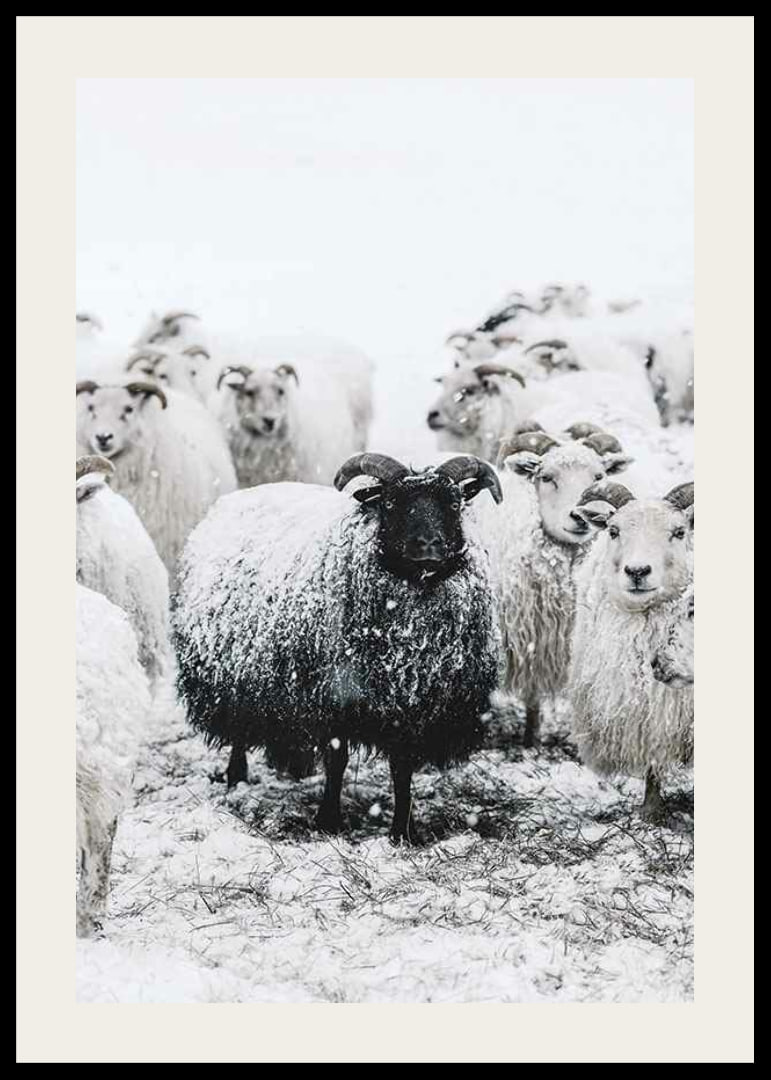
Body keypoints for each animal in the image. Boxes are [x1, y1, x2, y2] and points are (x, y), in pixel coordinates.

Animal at [172, 452, 504, 843]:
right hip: (234, 676)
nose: (430, 545)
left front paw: (403, 832)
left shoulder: (412, 707)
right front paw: (328, 821)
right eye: (390, 503)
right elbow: (337, 760)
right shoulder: (332, 697)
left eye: (453, 503)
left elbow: (402, 767)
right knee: (239, 730)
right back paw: (236, 778)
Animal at [474, 424, 634, 746]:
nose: (579, 517)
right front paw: (530, 738)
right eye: (546, 477)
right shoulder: (531, 639)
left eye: (599, 477)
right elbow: (533, 696)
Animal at [567, 480, 694, 819]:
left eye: (679, 532)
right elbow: (652, 758)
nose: (637, 571)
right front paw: (650, 812)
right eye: (613, 531)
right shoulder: (646, 709)